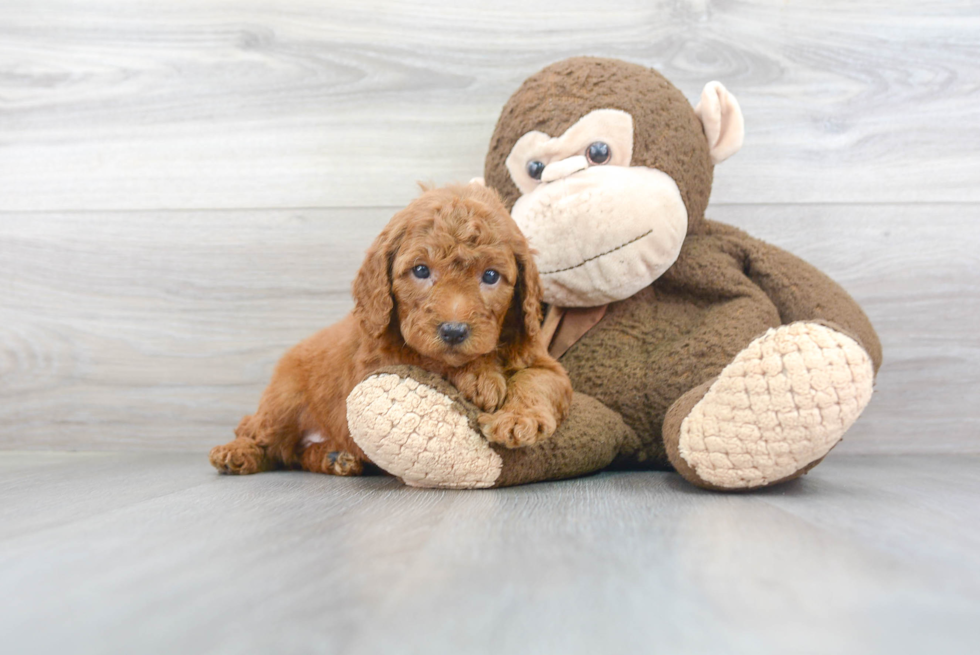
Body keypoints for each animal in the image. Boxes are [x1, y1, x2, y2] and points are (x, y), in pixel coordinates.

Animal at [211, 184, 572, 476]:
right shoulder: (378, 363)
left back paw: (334, 458)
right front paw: (480, 376)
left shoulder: (544, 362)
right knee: (257, 431)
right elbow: (429, 359)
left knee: (296, 453)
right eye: (421, 270)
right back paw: (235, 453)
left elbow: (536, 381)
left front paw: (518, 419)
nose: (454, 331)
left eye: (491, 276)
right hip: (283, 399)